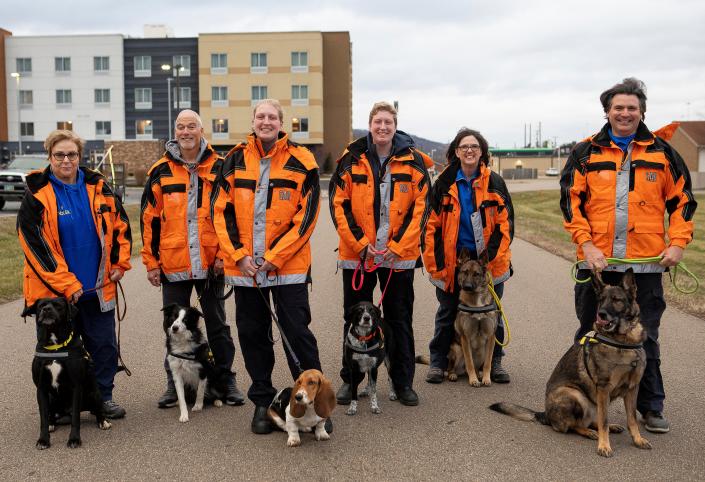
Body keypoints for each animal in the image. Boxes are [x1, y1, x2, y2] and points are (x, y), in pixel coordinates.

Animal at [24, 296, 110, 450]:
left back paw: (103, 421)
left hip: (94, 393)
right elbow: (43, 418)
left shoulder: (76, 387)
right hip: (51, 398)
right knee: (51, 414)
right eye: (41, 306)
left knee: (96, 408)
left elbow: (76, 418)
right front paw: (43, 440)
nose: (46, 309)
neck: (55, 347)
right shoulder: (41, 389)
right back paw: (52, 423)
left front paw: (74, 439)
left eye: (58, 306)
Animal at [452, 250, 496, 386]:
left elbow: (488, 363)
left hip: (482, 352)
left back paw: (479, 374)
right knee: (451, 368)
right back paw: (453, 374)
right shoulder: (465, 338)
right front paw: (473, 380)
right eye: (465, 272)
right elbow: (469, 362)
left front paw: (486, 378)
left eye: (476, 274)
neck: (476, 303)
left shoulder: (491, 337)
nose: (467, 286)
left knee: (478, 367)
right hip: (457, 349)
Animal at [490, 270, 648, 458]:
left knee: (593, 419)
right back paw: (589, 432)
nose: (601, 314)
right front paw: (604, 446)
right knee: (574, 425)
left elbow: (632, 419)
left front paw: (638, 439)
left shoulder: (632, 388)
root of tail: (546, 414)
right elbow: (603, 420)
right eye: (601, 299)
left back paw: (611, 427)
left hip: (595, 401)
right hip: (574, 394)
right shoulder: (603, 388)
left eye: (616, 300)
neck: (623, 341)